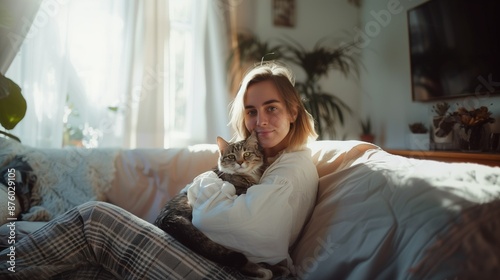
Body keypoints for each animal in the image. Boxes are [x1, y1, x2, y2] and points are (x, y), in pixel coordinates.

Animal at [152, 132, 288, 278]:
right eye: (231, 156)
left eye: (246, 154)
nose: (240, 162)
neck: (248, 175)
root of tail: (165, 219)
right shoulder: (238, 191)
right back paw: (265, 271)